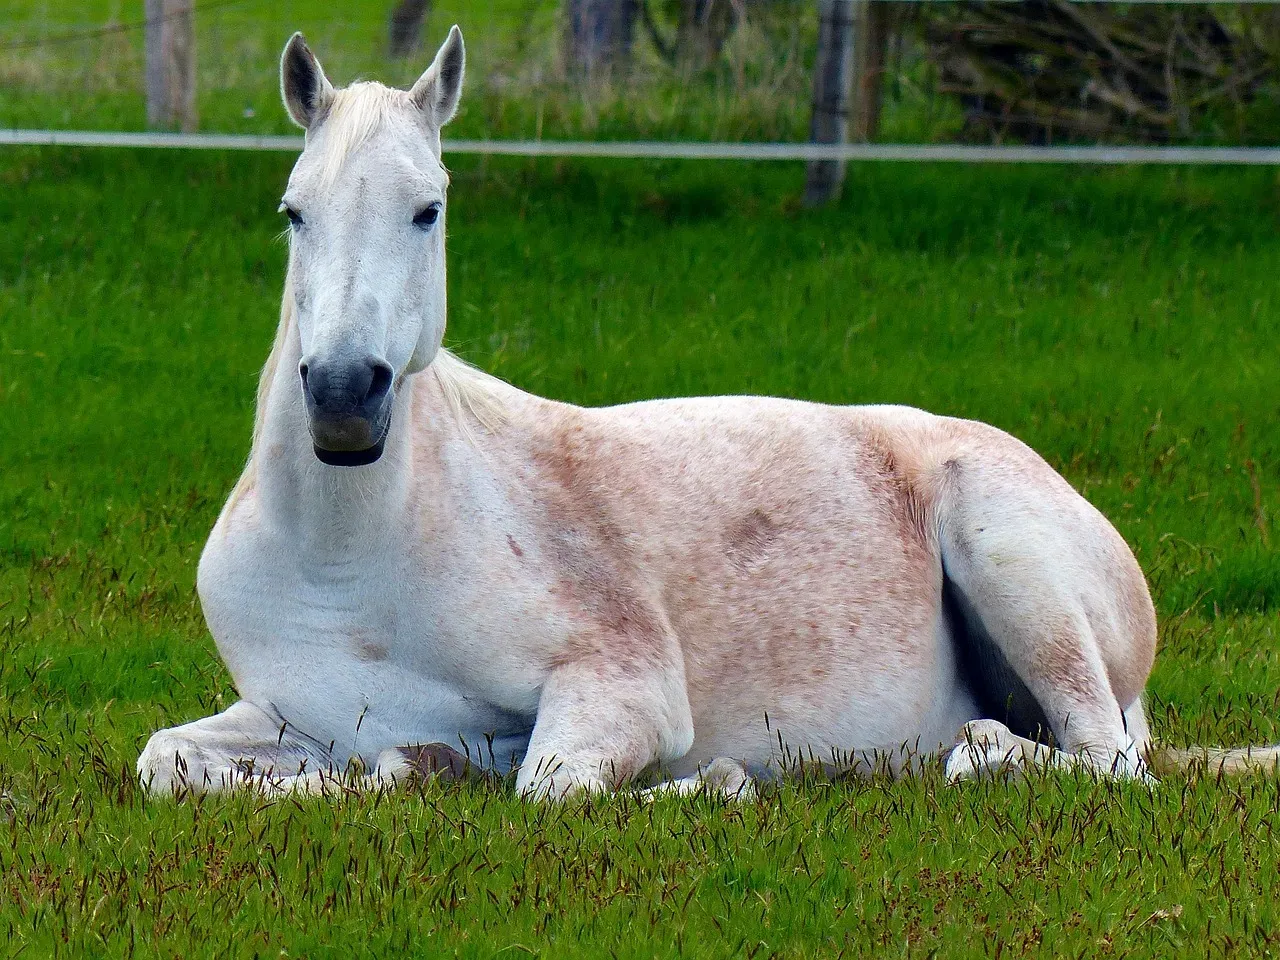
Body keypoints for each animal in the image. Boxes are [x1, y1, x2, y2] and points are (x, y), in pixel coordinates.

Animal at [137, 27, 1280, 799]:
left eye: (430, 208)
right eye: (294, 211)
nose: (342, 394)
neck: (349, 564)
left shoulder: (623, 689)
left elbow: (550, 785)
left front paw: (717, 783)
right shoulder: (283, 717)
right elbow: (171, 760)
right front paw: (407, 766)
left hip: (1018, 571)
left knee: (1097, 760)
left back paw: (961, 755)